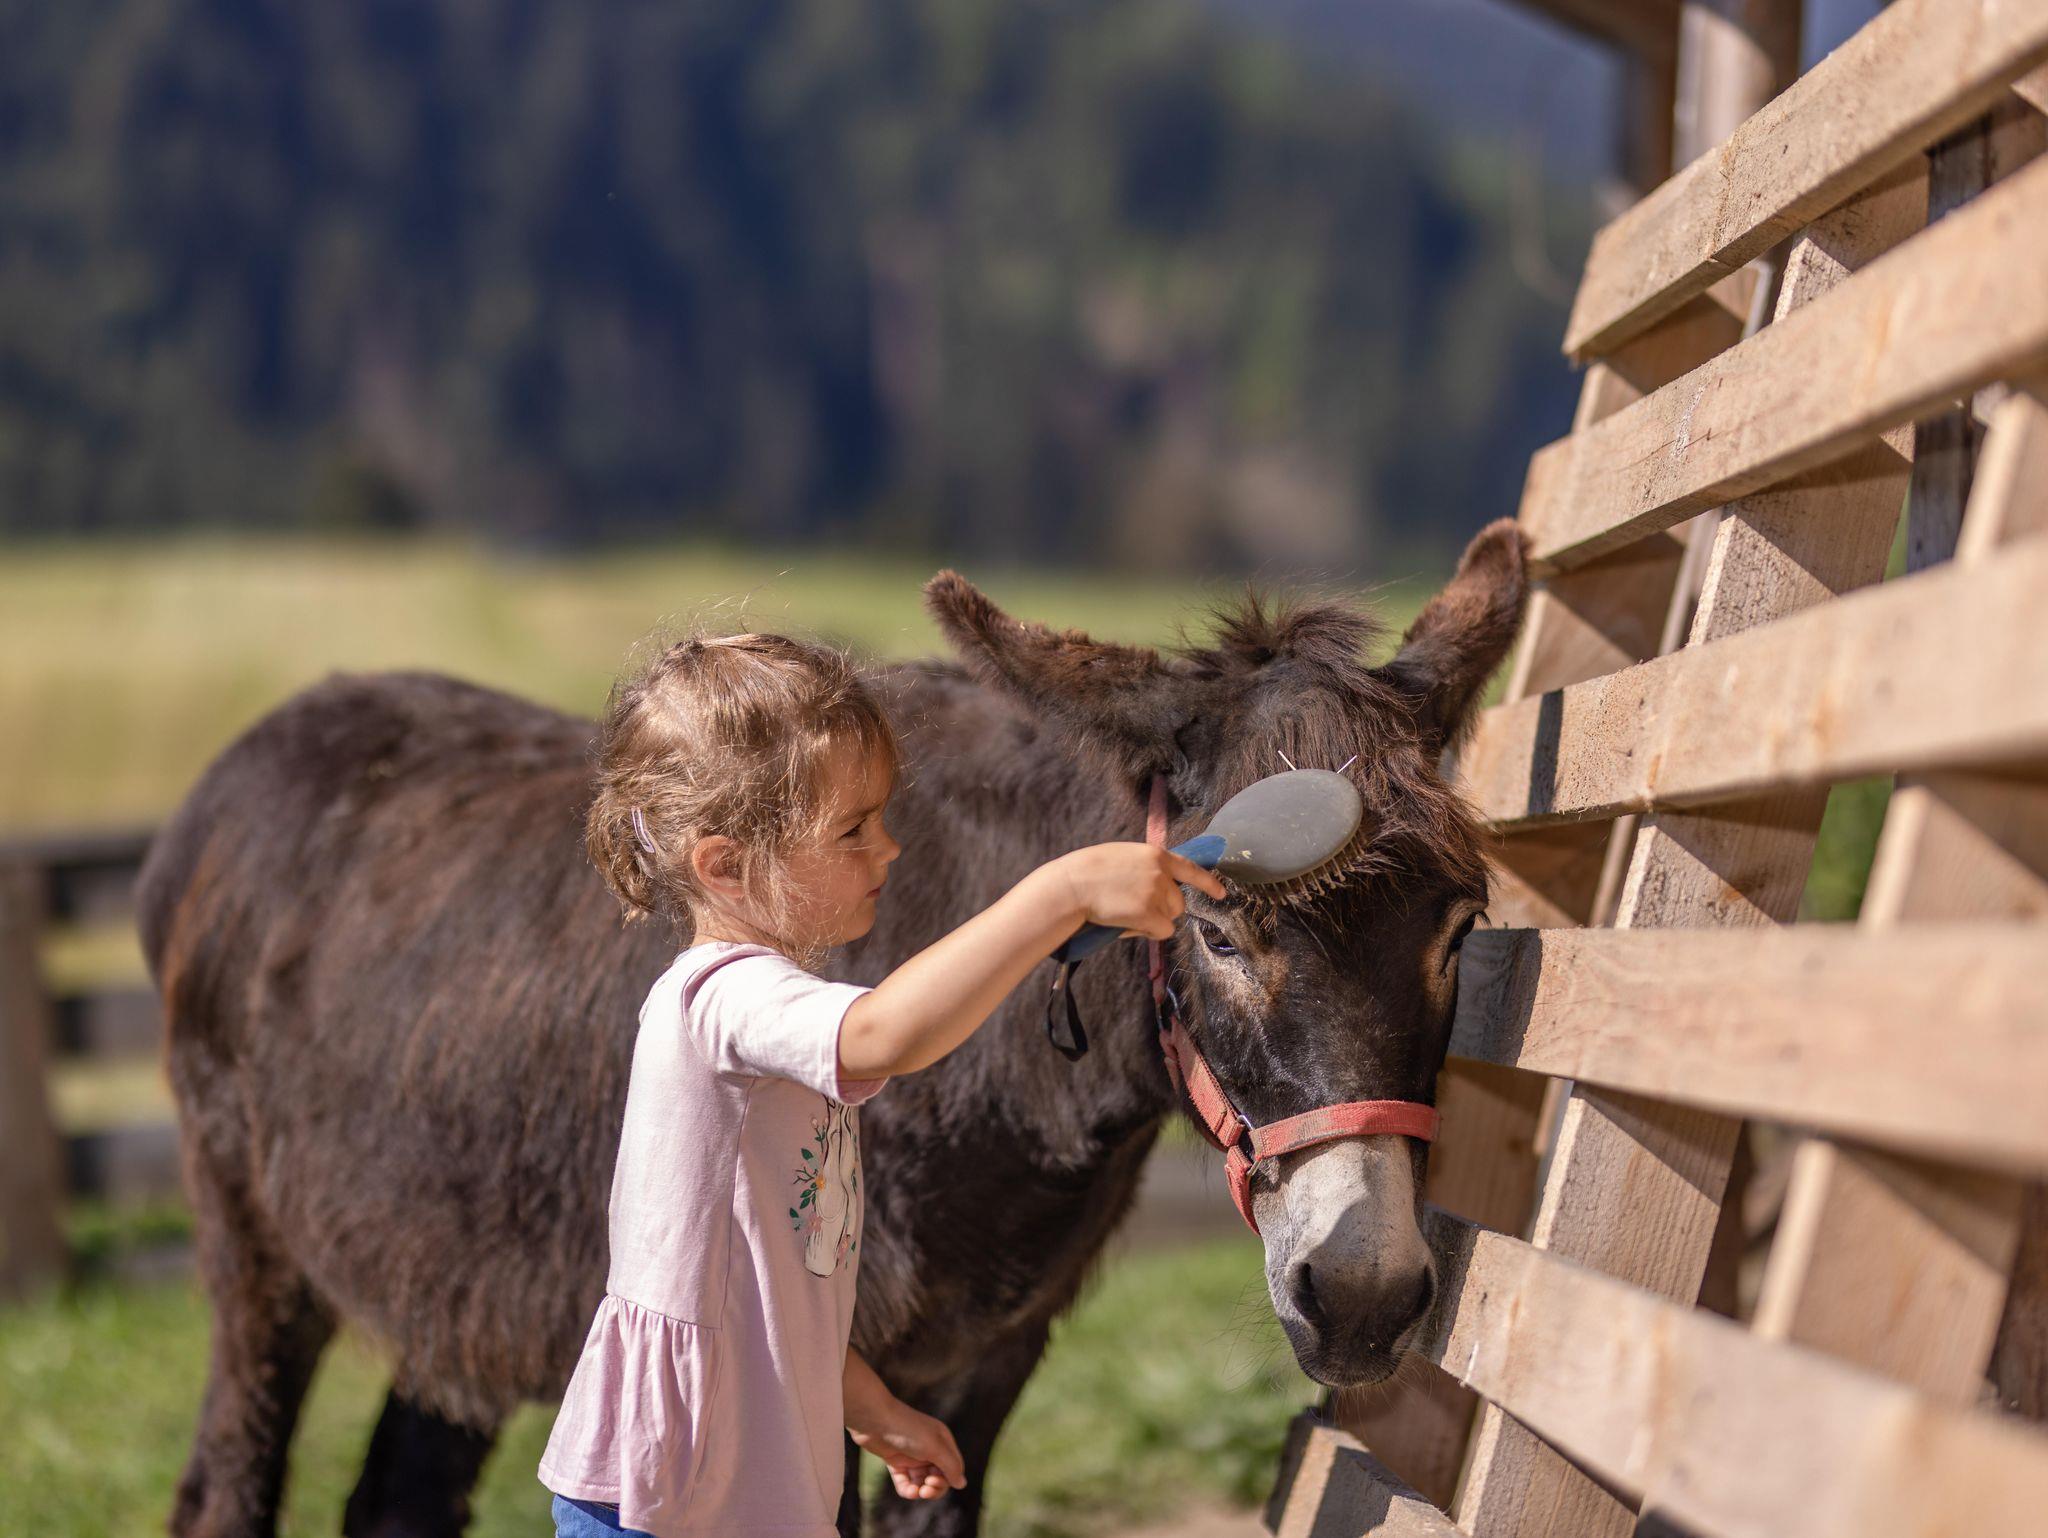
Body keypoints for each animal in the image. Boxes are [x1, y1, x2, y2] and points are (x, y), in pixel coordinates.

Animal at [137, 520, 1525, 1537]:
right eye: (1221, 935)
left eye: (1458, 928)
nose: (1362, 1296)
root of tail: (235, 770)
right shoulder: (839, 1363)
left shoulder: (982, 1361)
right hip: (250, 1231)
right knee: (225, 1480)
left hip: (456, 1261)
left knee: (397, 1497)